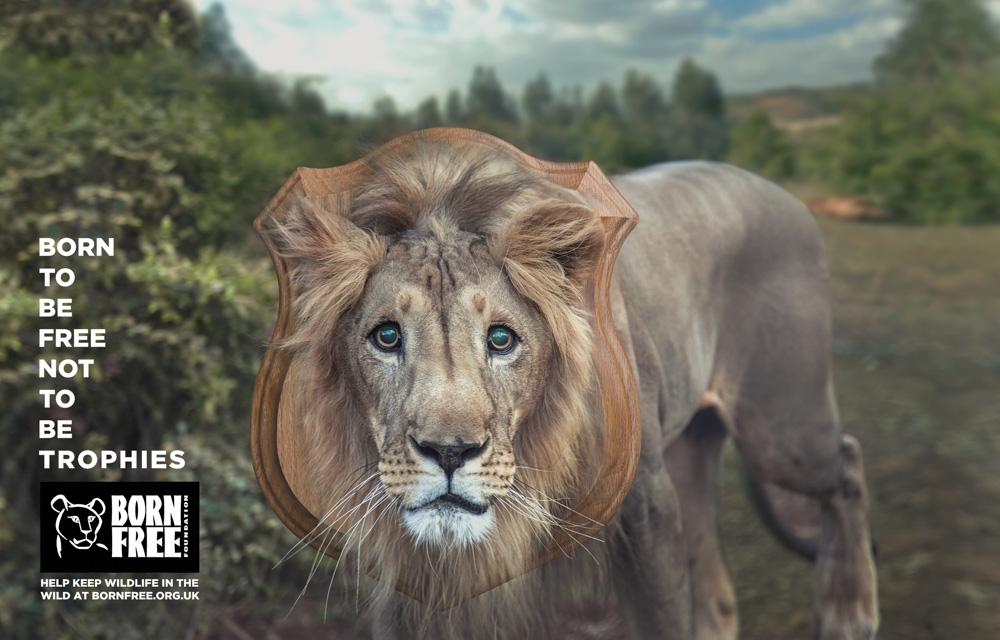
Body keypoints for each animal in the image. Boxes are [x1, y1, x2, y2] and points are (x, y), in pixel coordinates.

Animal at [268, 137, 879, 640]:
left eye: (501, 339)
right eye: (387, 335)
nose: (449, 452)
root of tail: (784, 195)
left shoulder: (644, 507)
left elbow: (660, 617)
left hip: (781, 429)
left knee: (848, 462)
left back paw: (849, 610)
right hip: (693, 447)